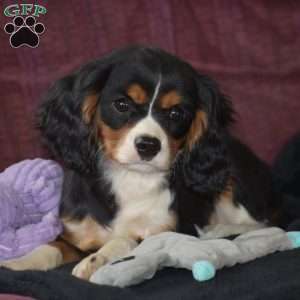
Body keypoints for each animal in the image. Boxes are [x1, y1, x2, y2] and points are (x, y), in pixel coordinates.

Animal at [1, 45, 284, 280]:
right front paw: (19, 262)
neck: (131, 178)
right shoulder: (75, 232)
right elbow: (52, 247)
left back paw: (220, 230)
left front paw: (97, 259)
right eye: (122, 104)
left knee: (261, 223)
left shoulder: (167, 230)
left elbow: (128, 241)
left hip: (235, 185)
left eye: (176, 113)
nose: (148, 145)